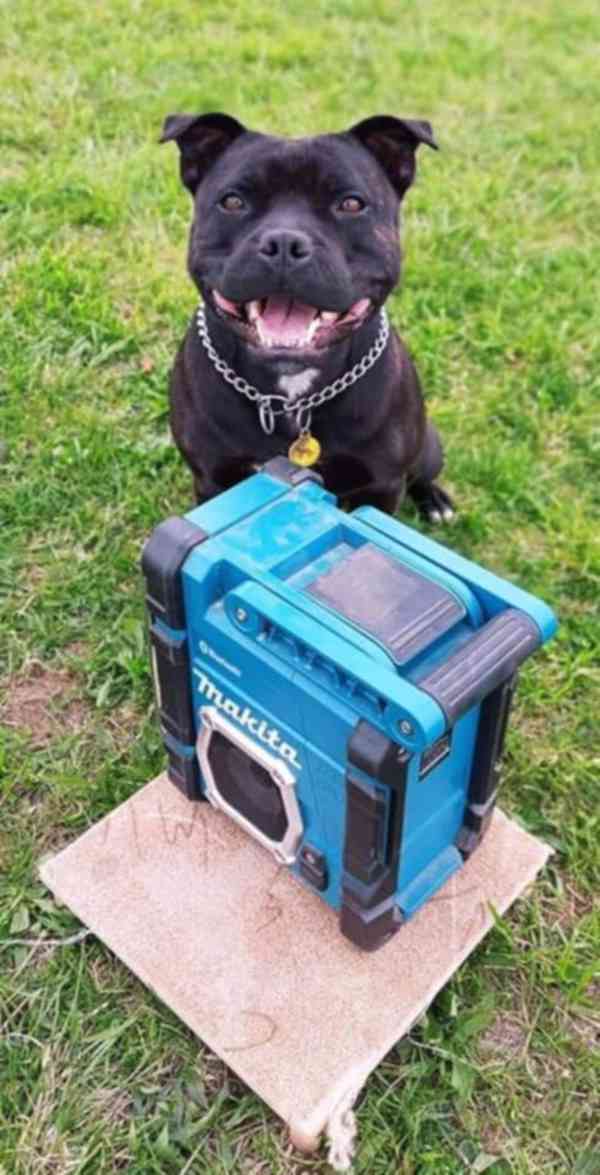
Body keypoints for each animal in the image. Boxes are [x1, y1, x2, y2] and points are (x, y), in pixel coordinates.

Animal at [162, 112, 453, 521]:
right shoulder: (213, 480)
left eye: (351, 204)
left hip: (428, 448)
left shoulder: (382, 486)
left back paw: (435, 500)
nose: (284, 242)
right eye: (232, 201)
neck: (290, 396)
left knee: (422, 474)